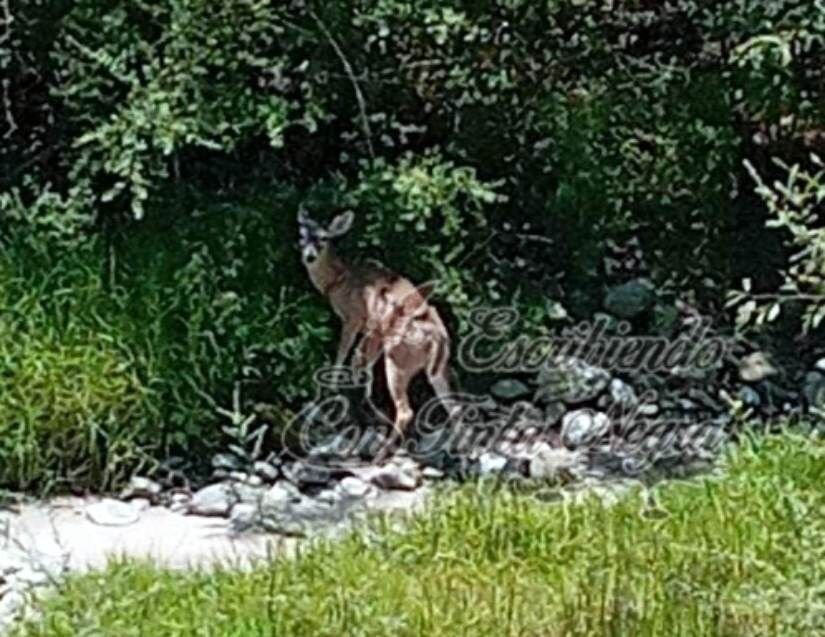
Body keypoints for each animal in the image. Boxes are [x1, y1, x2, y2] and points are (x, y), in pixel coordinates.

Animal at [296, 207, 454, 442]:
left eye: (323, 238)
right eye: (302, 235)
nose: (309, 256)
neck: (339, 280)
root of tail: (438, 337)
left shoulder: (354, 318)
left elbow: (343, 354)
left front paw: (332, 390)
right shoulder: (373, 331)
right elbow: (363, 362)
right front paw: (364, 403)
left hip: (398, 358)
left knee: (406, 411)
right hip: (437, 367)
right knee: (453, 406)